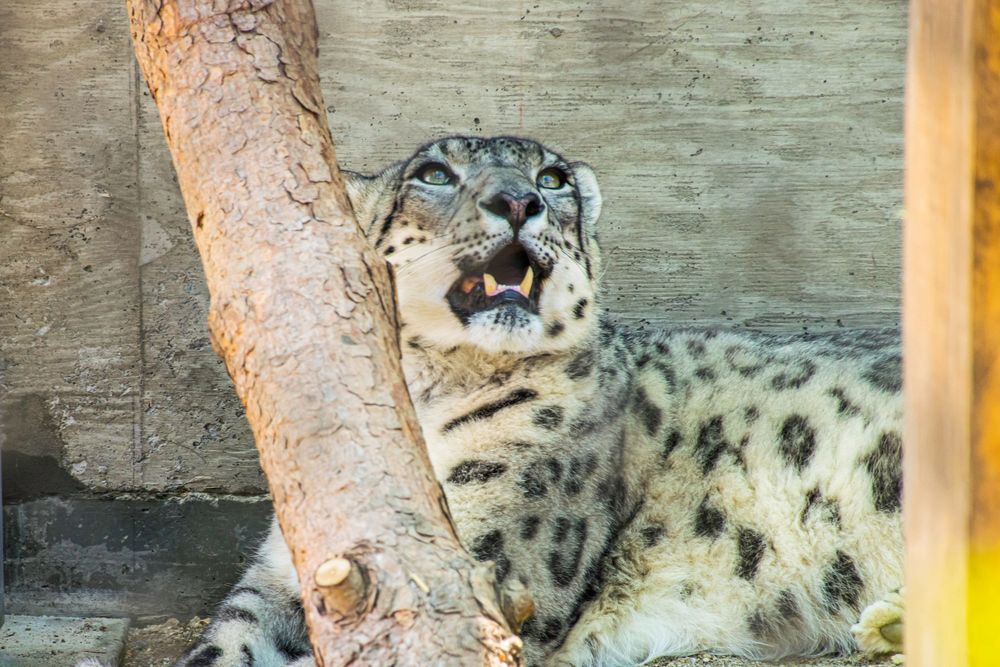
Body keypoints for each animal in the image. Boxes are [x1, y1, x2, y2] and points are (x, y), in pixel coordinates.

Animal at [172, 135, 904, 667]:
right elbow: (230, 635)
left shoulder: (486, 560)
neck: (428, 401)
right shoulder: (285, 569)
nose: (521, 201)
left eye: (552, 178)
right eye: (433, 172)